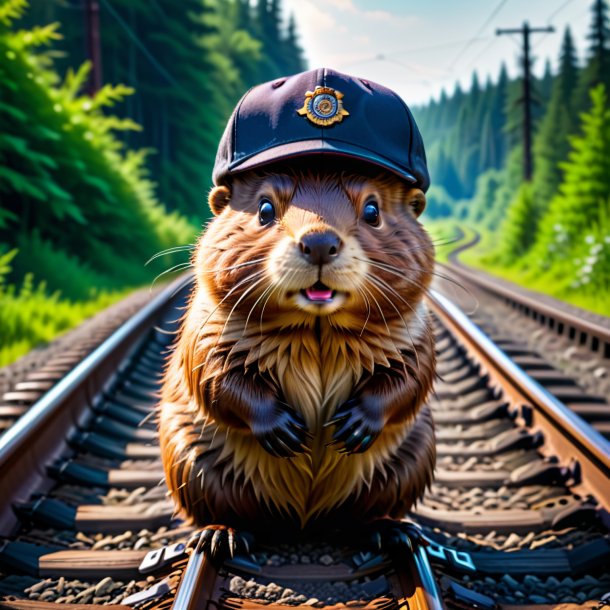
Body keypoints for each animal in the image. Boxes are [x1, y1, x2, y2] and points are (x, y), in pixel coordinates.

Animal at [156, 69, 432, 560]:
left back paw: (393, 531)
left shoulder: (413, 329)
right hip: (190, 461)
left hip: (411, 460)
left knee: (366, 513)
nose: (319, 242)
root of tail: (305, 522)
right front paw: (286, 432)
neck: (317, 330)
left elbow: (411, 377)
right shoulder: (208, 324)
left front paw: (353, 426)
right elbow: (213, 374)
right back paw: (221, 536)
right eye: (265, 208)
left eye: (373, 209)